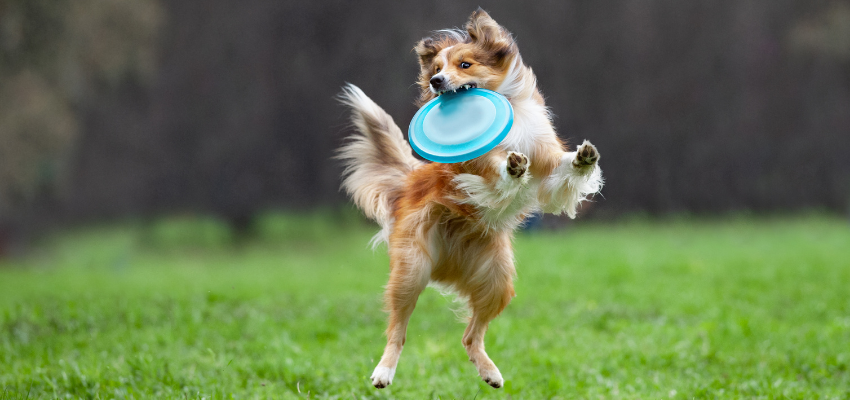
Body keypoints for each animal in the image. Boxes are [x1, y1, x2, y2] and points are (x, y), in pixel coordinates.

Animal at [334, 8, 600, 390]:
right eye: (436, 69)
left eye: (464, 64)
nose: (436, 82)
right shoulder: (473, 165)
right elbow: (493, 166)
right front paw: (511, 166)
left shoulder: (546, 167)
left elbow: (560, 171)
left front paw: (584, 158)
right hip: (412, 268)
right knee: (397, 330)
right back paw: (384, 371)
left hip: (498, 279)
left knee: (470, 336)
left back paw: (490, 373)